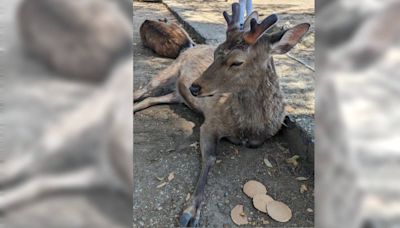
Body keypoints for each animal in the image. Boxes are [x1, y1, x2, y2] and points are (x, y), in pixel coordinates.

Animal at [134, 3, 310, 226]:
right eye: (217, 52)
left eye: (237, 62)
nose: (194, 87)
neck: (250, 127)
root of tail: (189, 47)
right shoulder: (210, 123)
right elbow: (210, 158)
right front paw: (190, 213)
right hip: (167, 72)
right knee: (140, 92)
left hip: (175, 95)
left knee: (150, 100)